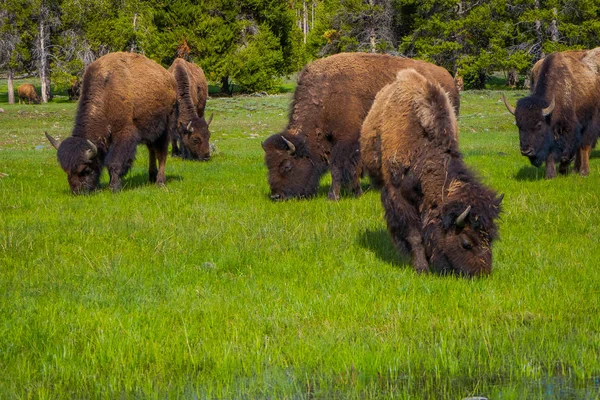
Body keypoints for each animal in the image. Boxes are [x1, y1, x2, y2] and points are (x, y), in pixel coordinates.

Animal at [45, 52, 177, 194]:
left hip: (165, 128)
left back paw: (160, 181)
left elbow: (115, 162)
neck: (106, 95)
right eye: (67, 171)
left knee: (162, 153)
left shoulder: (123, 135)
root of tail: (170, 79)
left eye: (85, 170)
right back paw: (152, 176)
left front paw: (113, 187)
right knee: (152, 150)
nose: (78, 192)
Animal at [262, 52, 460, 202]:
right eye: (268, 165)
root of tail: (447, 76)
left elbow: (340, 168)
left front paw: (334, 196)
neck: (325, 95)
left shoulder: (346, 141)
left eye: (287, 166)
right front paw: (355, 191)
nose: (276, 196)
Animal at [364, 69, 504, 276]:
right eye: (466, 242)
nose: (481, 273)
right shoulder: (399, 197)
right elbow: (414, 234)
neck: (422, 147)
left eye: (490, 238)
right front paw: (421, 268)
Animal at [502, 47, 600, 178]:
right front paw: (550, 175)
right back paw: (574, 170)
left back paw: (582, 171)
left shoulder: (573, 127)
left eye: (539, 125)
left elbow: (575, 149)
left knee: (583, 146)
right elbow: (551, 153)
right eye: (518, 125)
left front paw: (571, 170)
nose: (526, 151)